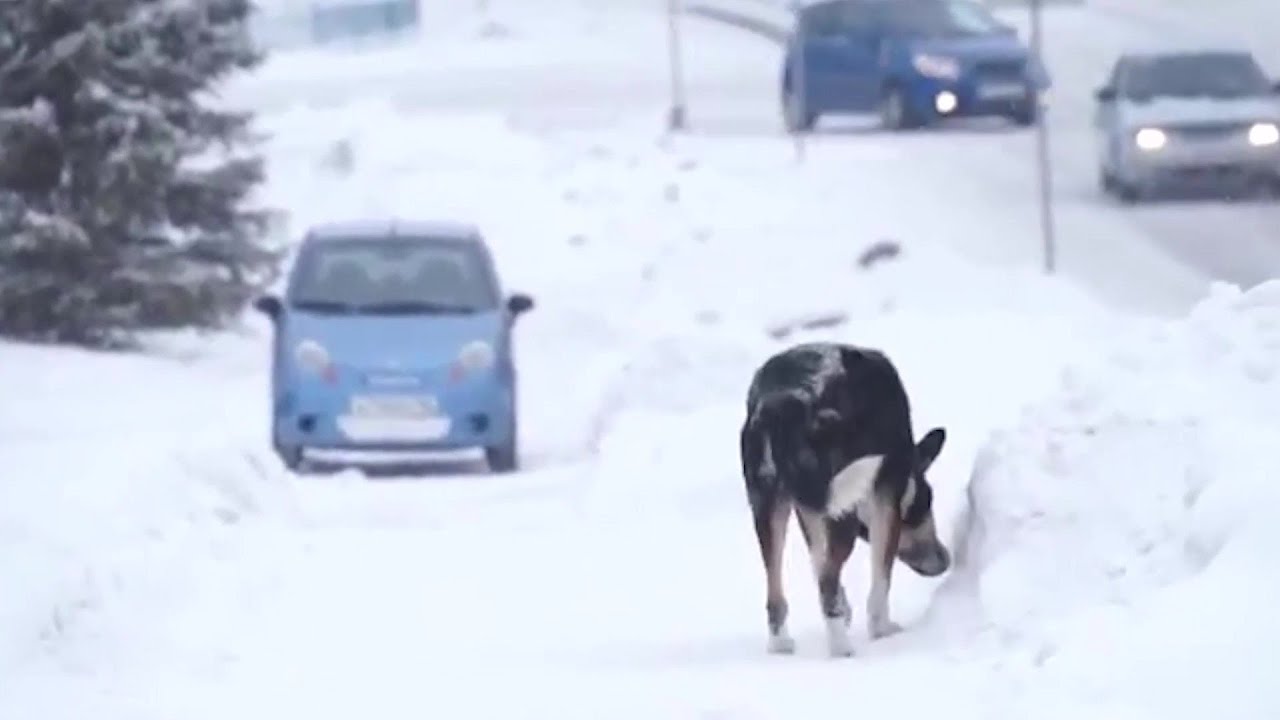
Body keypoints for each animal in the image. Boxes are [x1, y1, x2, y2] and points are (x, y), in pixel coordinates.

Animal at [742, 340, 952, 655]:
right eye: (925, 504)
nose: (944, 561)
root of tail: (779, 408)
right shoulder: (884, 497)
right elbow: (880, 579)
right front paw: (882, 630)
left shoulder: (810, 508)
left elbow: (818, 560)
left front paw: (847, 610)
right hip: (842, 512)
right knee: (827, 584)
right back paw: (841, 648)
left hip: (768, 509)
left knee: (776, 595)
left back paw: (781, 644)